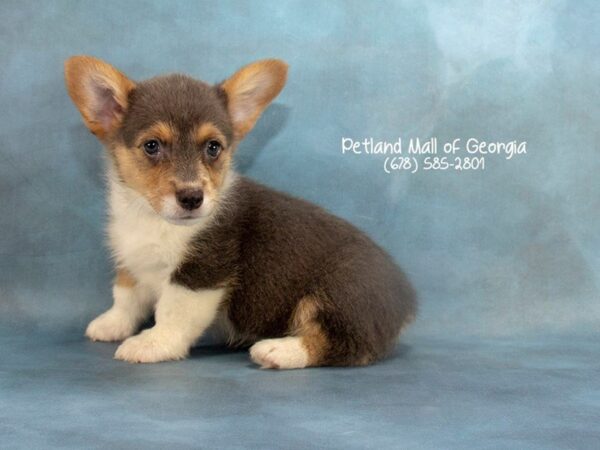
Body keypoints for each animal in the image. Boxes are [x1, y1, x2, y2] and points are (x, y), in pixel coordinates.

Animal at [63, 55, 414, 370]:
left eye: (213, 147)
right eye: (152, 146)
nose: (192, 198)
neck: (154, 219)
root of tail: (406, 298)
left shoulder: (201, 273)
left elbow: (173, 313)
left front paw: (152, 343)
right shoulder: (133, 261)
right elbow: (126, 296)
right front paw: (111, 324)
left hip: (341, 289)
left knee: (343, 344)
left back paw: (277, 351)